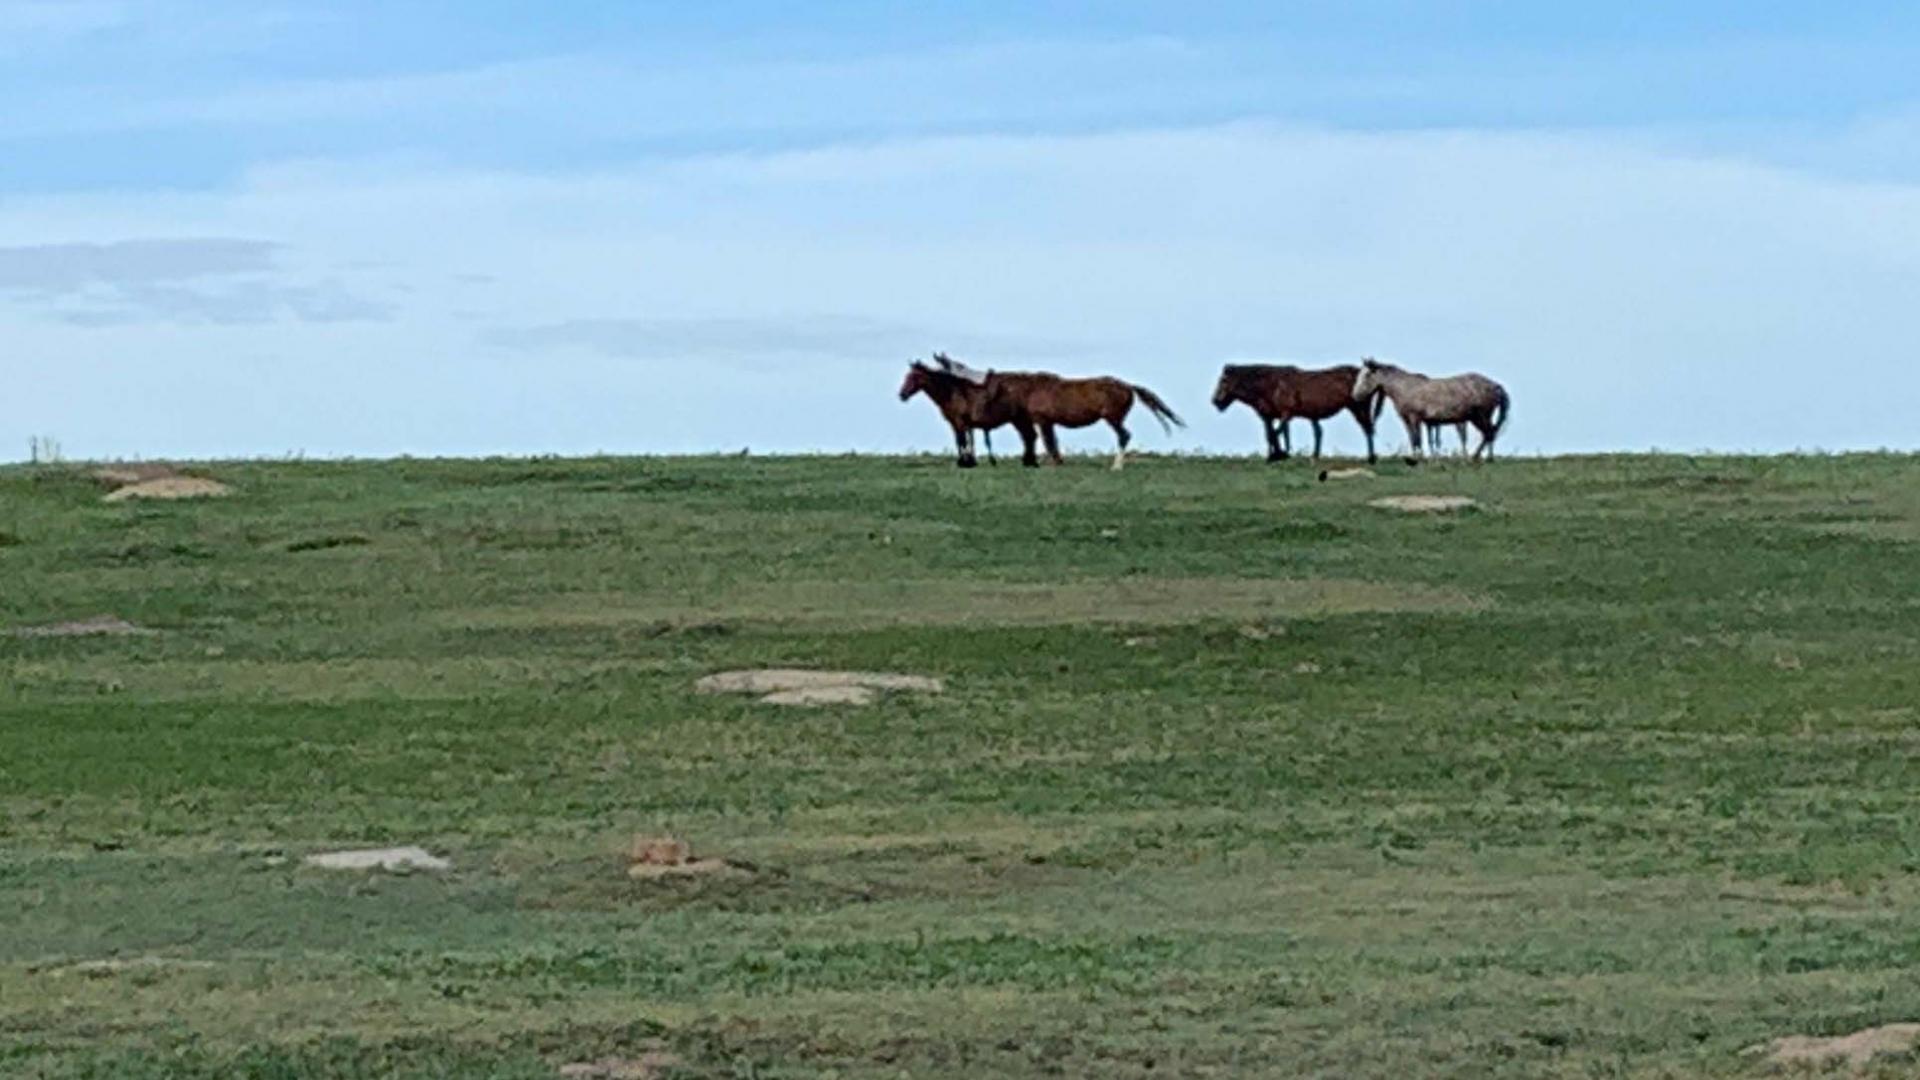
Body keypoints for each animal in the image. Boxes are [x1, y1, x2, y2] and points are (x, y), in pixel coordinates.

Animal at [983, 367, 1175, 465]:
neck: (1032, 390)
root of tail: (1128, 386)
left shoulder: (1043, 421)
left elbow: (1049, 442)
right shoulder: (1049, 422)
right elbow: (1053, 442)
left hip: (1113, 419)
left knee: (1124, 436)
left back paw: (1116, 466)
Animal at [1213, 361, 1382, 463]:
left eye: (1223, 381)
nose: (1215, 401)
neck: (1272, 385)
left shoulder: (1285, 413)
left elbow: (1276, 434)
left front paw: (1281, 454)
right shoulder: (1269, 416)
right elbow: (1271, 435)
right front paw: (1275, 455)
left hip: (1358, 407)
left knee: (1367, 428)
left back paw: (1371, 457)